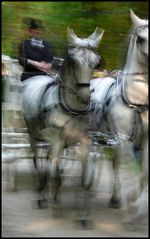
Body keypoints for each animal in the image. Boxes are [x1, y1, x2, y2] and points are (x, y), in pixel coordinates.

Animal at [89, 8, 148, 223]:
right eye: (140, 38)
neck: (138, 102)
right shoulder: (125, 140)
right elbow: (135, 170)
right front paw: (132, 203)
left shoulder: (145, 140)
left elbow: (145, 174)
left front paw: (135, 204)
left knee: (114, 163)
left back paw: (115, 198)